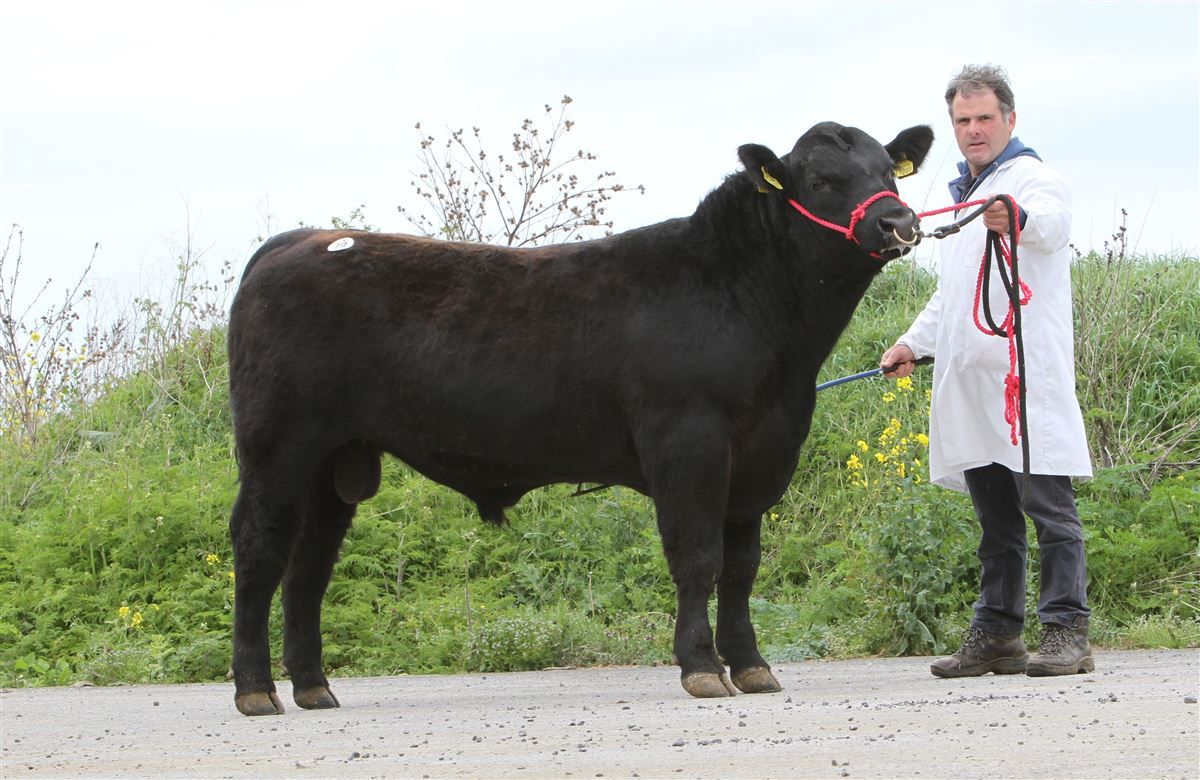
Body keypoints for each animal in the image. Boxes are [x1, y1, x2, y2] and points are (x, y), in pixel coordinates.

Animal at [227, 121, 934, 716]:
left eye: (889, 171)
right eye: (822, 180)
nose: (899, 221)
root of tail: (301, 240)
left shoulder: (761, 456)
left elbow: (741, 568)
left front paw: (753, 665)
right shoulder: (689, 443)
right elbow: (697, 557)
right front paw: (702, 668)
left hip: (337, 459)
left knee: (310, 563)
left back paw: (313, 687)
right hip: (277, 446)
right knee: (261, 548)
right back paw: (257, 690)